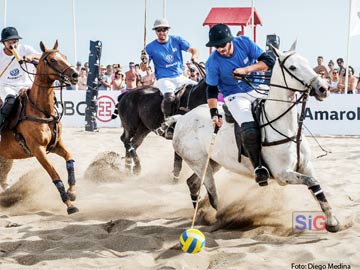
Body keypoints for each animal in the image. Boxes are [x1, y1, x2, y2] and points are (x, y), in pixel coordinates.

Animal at [0, 40, 79, 214]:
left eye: (64, 56)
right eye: (53, 60)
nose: (75, 75)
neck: (42, 110)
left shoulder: (55, 144)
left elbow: (70, 159)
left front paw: (72, 191)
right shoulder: (38, 149)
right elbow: (55, 175)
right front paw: (69, 204)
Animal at [173, 43, 338, 232]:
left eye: (307, 62)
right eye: (292, 67)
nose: (323, 88)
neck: (284, 125)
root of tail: (180, 119)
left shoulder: (306, 166)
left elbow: (316, 186)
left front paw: (332, 221)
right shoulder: (282, 175)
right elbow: (311, 182)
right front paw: (332, 222)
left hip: (213, 162)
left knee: (193, 183)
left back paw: (199, 214)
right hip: (200, 164)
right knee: (213, 193)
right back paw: (218, 219)